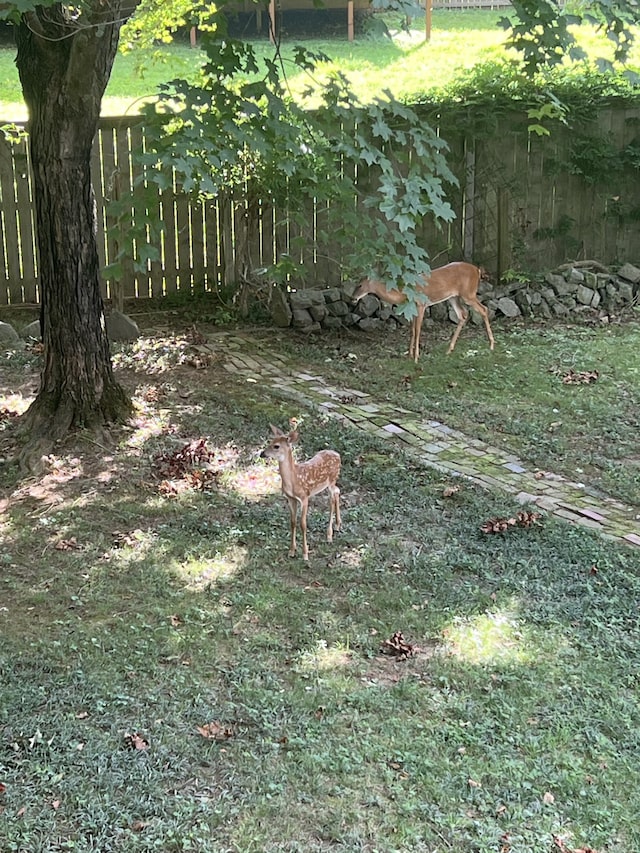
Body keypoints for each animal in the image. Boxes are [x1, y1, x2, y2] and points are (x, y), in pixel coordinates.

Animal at [260, 424, 340, 560]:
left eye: (276, 446)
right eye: (270, 441)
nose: (262, 453)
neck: (294, 479)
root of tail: (338, 454)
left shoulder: (304, 497)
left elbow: (303, 524)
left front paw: (305, 554)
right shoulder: (291, 498)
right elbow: (292, 522)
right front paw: (292, 551)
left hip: (331, 480)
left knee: (332, 500)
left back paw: (329, 535)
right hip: (331, 483)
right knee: (338, 492)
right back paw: (338, 525)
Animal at [350, 262, 496, 362]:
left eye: (360, 285)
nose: (353, 298)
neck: (403, 292)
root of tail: (477, 270)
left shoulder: (421, 305)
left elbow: (418, 330)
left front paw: (416, 358)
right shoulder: (412, 309)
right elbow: (412, 330)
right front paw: (409, 355)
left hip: (468, 293)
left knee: (484, 309)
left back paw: (491, 345)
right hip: (454, 297)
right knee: (462, 314)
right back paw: (449, 350)